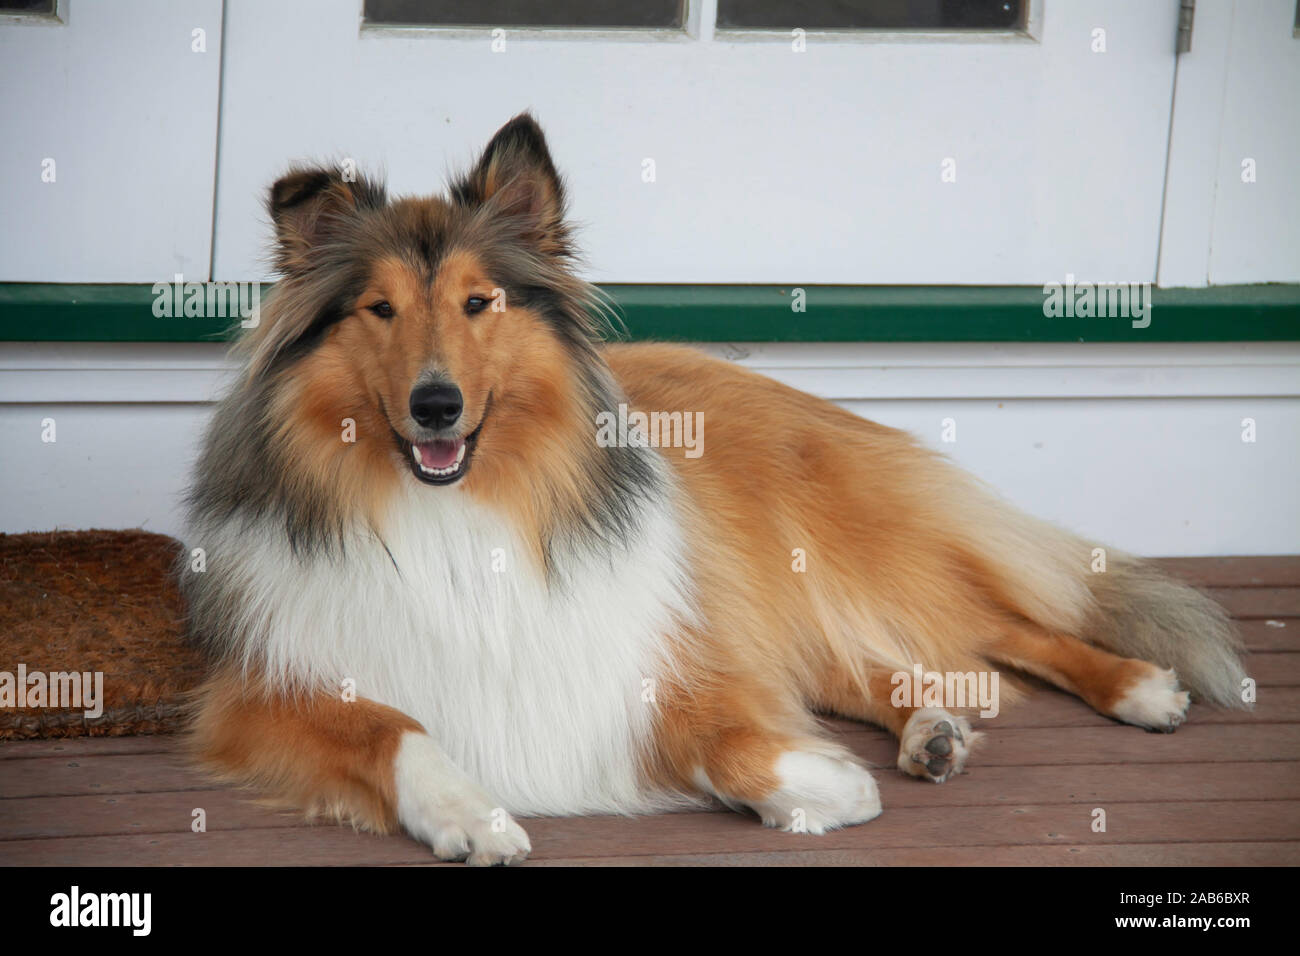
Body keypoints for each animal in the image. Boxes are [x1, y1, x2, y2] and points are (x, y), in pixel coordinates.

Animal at [183, 113, 1248, 868]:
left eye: (479, 302)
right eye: (380, 309)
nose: (435, 405)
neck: (460, 507)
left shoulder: (657, 644)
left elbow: (721, 734)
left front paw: (821, 786)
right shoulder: (266, 689)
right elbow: (396, 728)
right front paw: (470, 812)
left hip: (839, 553)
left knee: (1006, 626)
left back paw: (1138, 686)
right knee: (869, 666)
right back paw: (931, 731)